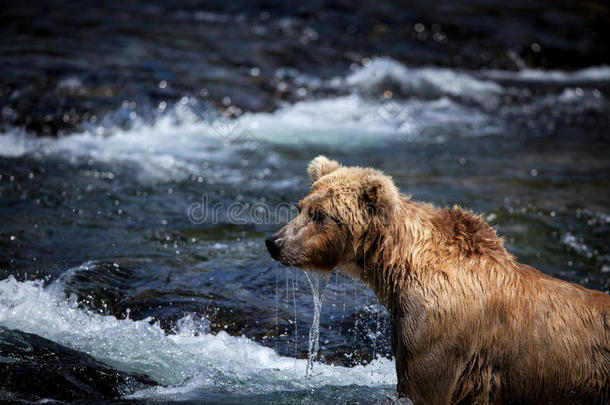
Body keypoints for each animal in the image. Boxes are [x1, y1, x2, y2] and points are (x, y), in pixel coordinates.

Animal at [266, 155, 608, 404]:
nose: (275, 242)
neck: (396, 268)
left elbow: (424, 385)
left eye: (321, 215)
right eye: (301, 207)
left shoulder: (439, 334)